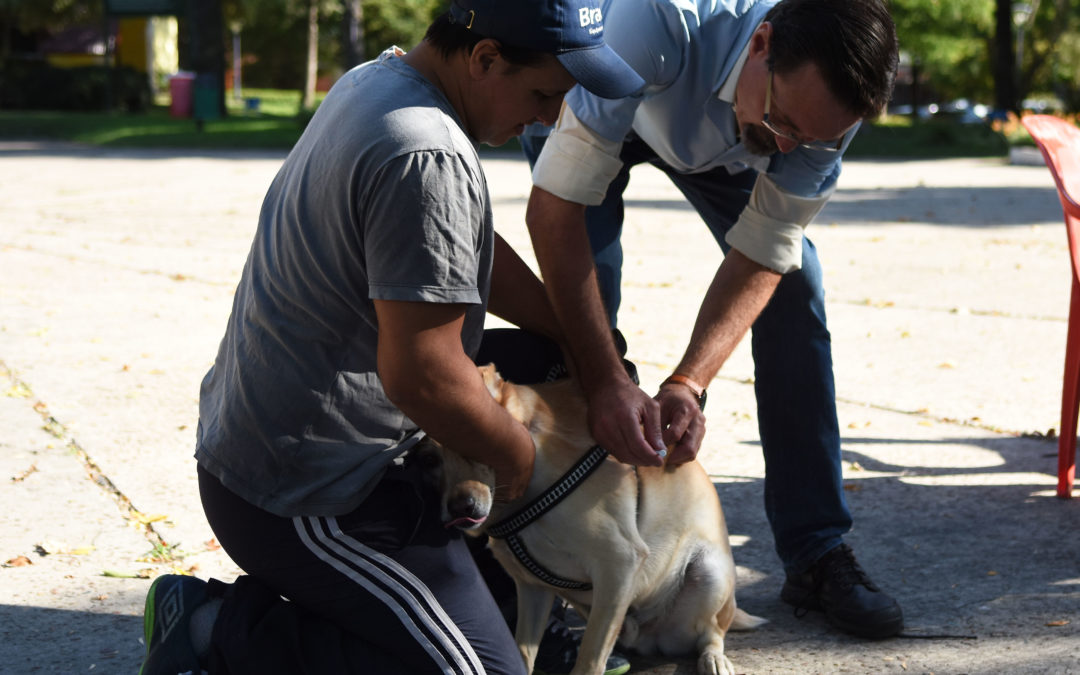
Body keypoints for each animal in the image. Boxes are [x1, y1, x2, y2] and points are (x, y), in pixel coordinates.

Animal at [419, 365, 760, 669]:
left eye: (472, 440)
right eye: (429, 460)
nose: (460, 508)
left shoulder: (618, 564)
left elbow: (588, 661)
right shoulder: (532, 589)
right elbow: (523, 654)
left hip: (709, 575)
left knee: (711, 633)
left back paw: (714, 658)